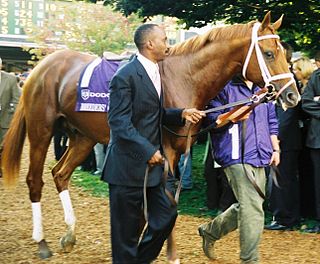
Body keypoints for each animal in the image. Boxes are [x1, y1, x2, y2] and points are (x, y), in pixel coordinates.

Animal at [1, 11, 300, 262]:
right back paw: (42, 243)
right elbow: (165, 199)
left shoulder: (178, 152)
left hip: (83, 137)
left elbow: (168, 201)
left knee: (60, 174)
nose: (292, 96)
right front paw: (167, 252)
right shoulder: (165, 151)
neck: (183, 77)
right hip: (41, 131)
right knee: (35, 180)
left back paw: (69, 235)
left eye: (284, 55)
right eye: (269, 53)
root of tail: (41, 67)